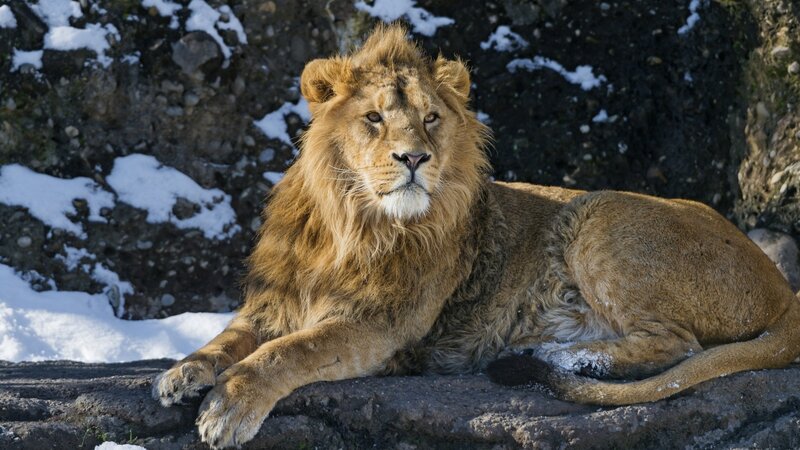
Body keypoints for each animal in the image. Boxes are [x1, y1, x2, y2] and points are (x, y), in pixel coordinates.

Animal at [152, 24, 800, 448]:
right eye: (374, 118)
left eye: (431, 118)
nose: (414, 157)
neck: (351, 223)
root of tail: (781, 286)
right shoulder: (273, 303)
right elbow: (230, 338)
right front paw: (182, 373)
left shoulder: (384, 325)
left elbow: (291, 350)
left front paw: (229, 406)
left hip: (600, 215)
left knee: (676, 345)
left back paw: (548, 355)